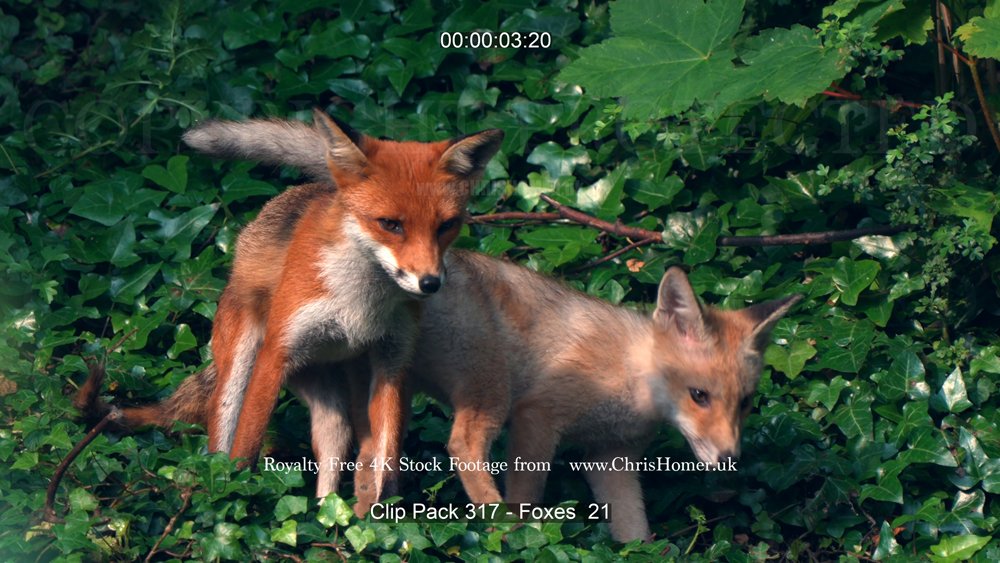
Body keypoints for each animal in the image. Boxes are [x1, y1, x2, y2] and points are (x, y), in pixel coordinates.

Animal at [77, 110, 504, 514]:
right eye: (390, 224)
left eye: (446, 225)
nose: (430, 283)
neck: (360, 303)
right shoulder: (278, 351)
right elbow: (246, 445)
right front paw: (235, 498)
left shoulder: (392, 361)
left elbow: (386, 457)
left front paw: (383, 517)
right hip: (242, 363)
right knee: (220, 433)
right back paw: (214, 494)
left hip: (335, 388)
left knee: (337, 444)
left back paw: (329, 515)